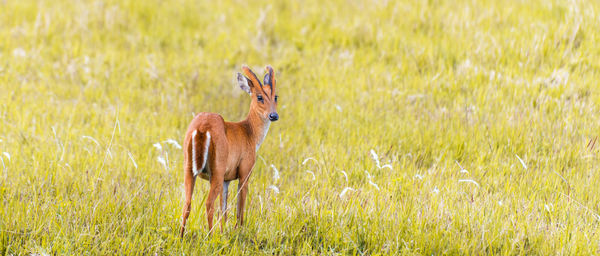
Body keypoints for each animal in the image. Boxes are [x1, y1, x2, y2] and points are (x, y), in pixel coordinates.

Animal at [179, 65, 280, 237]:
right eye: (259, 97)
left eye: (276, 97)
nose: (274, 115)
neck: (250, 134)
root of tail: (201, 129)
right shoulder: (245, 171)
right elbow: (240, 207)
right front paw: (238, 231)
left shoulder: (226, 179)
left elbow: (224, 209)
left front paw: (224, 232)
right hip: (217, 169)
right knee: (208, 203)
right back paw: (210, 236)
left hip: (189, 167)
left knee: (187, 203)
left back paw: (181, 236)